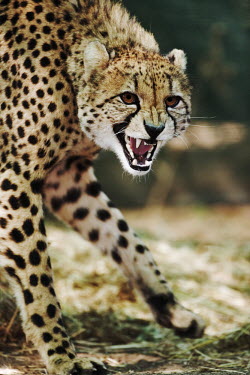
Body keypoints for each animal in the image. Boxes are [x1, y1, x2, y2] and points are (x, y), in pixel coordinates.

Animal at [0, 0, 205, 374]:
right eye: (128, 97)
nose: (155, 129)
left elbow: (125, 238)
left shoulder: (67, 178)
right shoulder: (15, 178)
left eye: (172, 101)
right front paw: (62, 356)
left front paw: (172, 309)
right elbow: (37, 276)